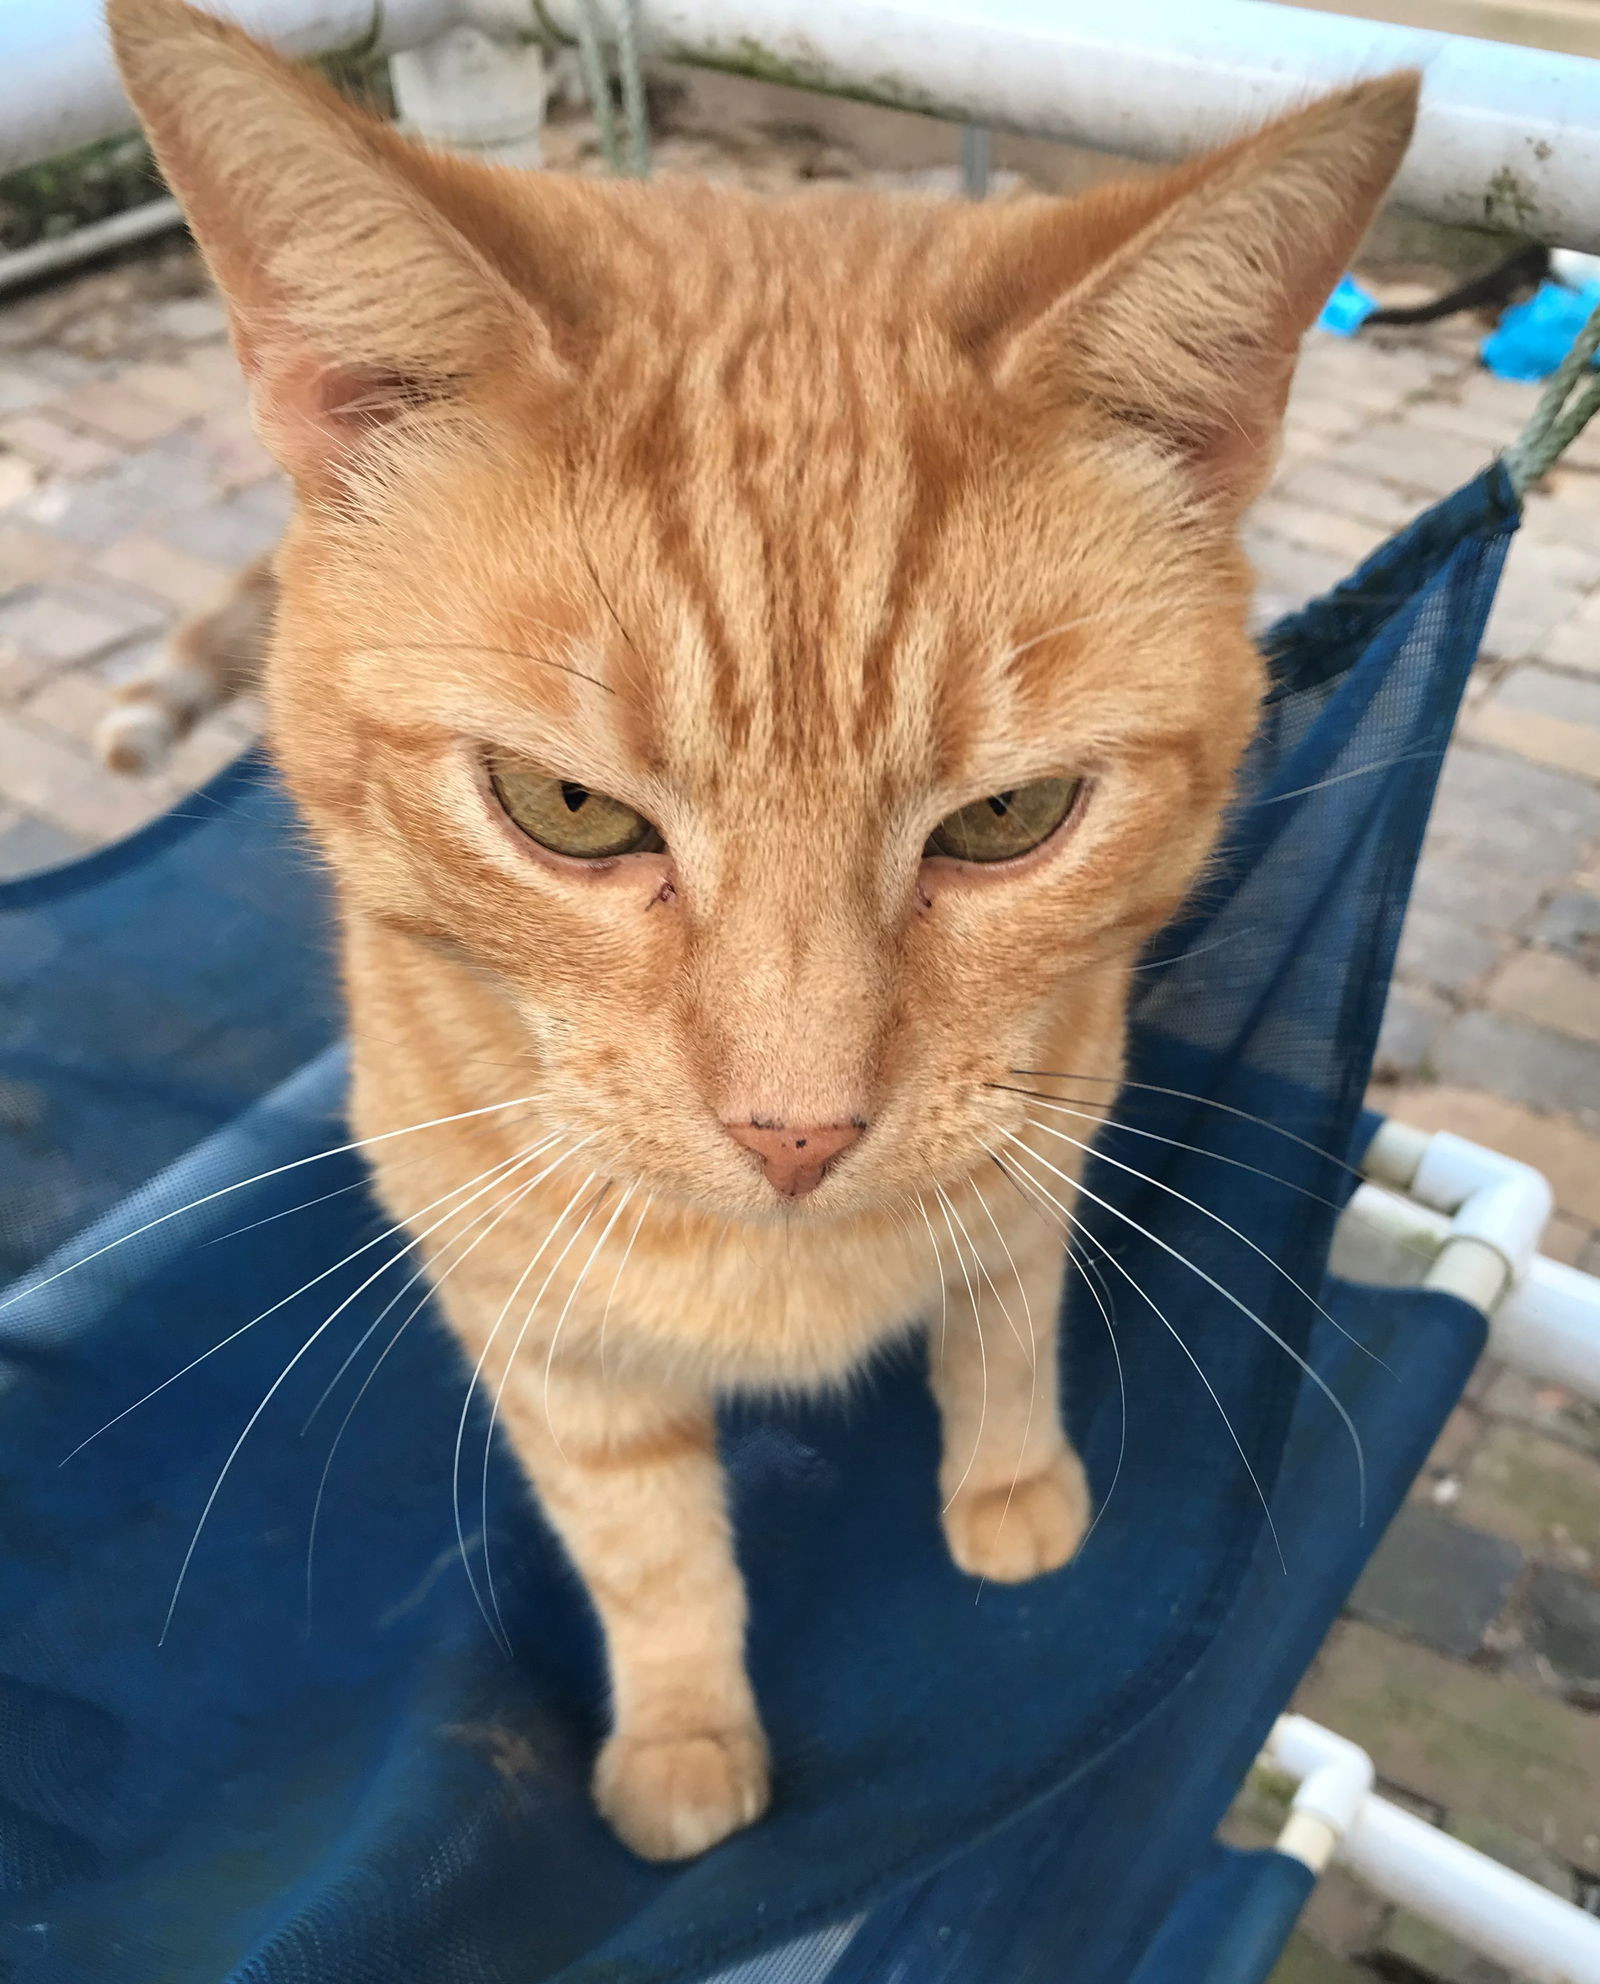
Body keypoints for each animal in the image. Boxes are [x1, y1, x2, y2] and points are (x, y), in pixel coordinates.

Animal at [109, 0, 1413, 1857]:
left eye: (1009, 818)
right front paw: (681, 1740)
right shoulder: (520, 1305)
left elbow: (1003, 1318)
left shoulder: (1045, 1126)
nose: (798, 1132)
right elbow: (645, 1544)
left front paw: (1015, 1487)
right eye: (566, 808)